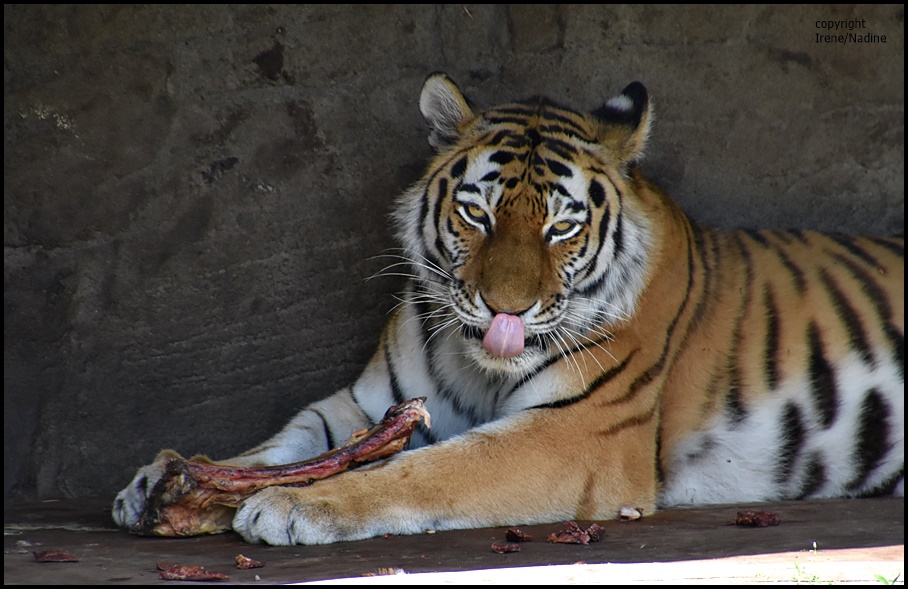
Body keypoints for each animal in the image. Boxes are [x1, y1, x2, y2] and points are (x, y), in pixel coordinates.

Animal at [111, 73, 900, 548]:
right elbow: (285, 442)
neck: (478, 365)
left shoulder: (577, 431)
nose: (505, 308)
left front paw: (298, 506)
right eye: (477, 215)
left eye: (561, 227)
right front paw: (163, 479)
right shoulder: (368, 403)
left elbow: (428, 472)